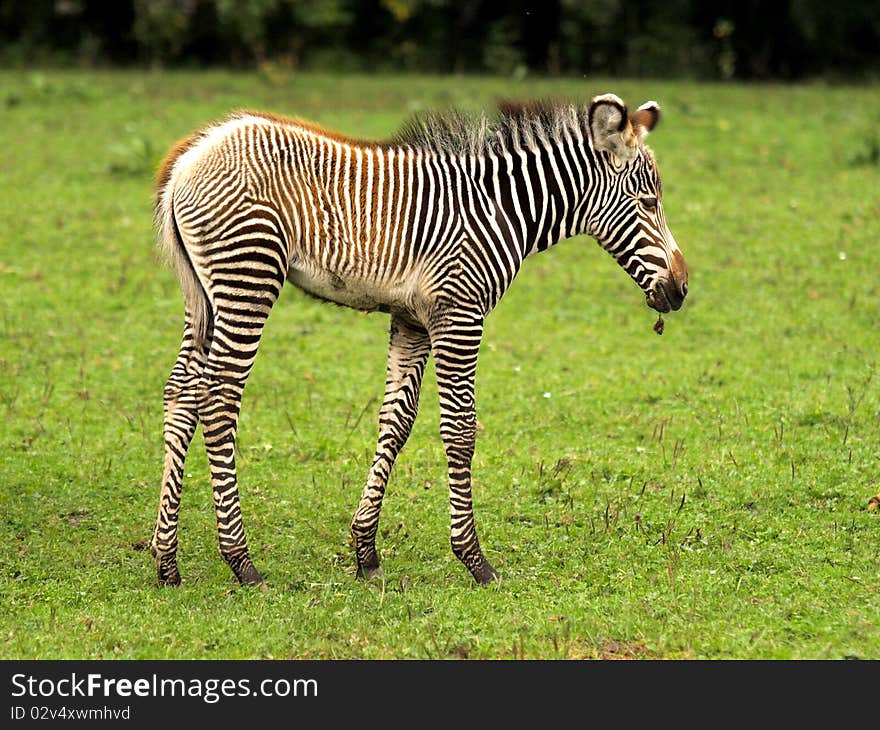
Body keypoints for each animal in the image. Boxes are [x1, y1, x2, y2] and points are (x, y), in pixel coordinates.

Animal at [150, 91, 688, 584]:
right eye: (649, 202)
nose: (681, 290)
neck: (500, 210)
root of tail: (191, 159)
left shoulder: (412, 320)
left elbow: (396, 423)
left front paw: (365, 551)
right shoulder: (460, 313)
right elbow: (461, 431)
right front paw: (474, 559)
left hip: (202, 295)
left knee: (181, 393)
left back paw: (166, 560)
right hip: (249, 277)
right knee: (218, 398)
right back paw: (241, 561)